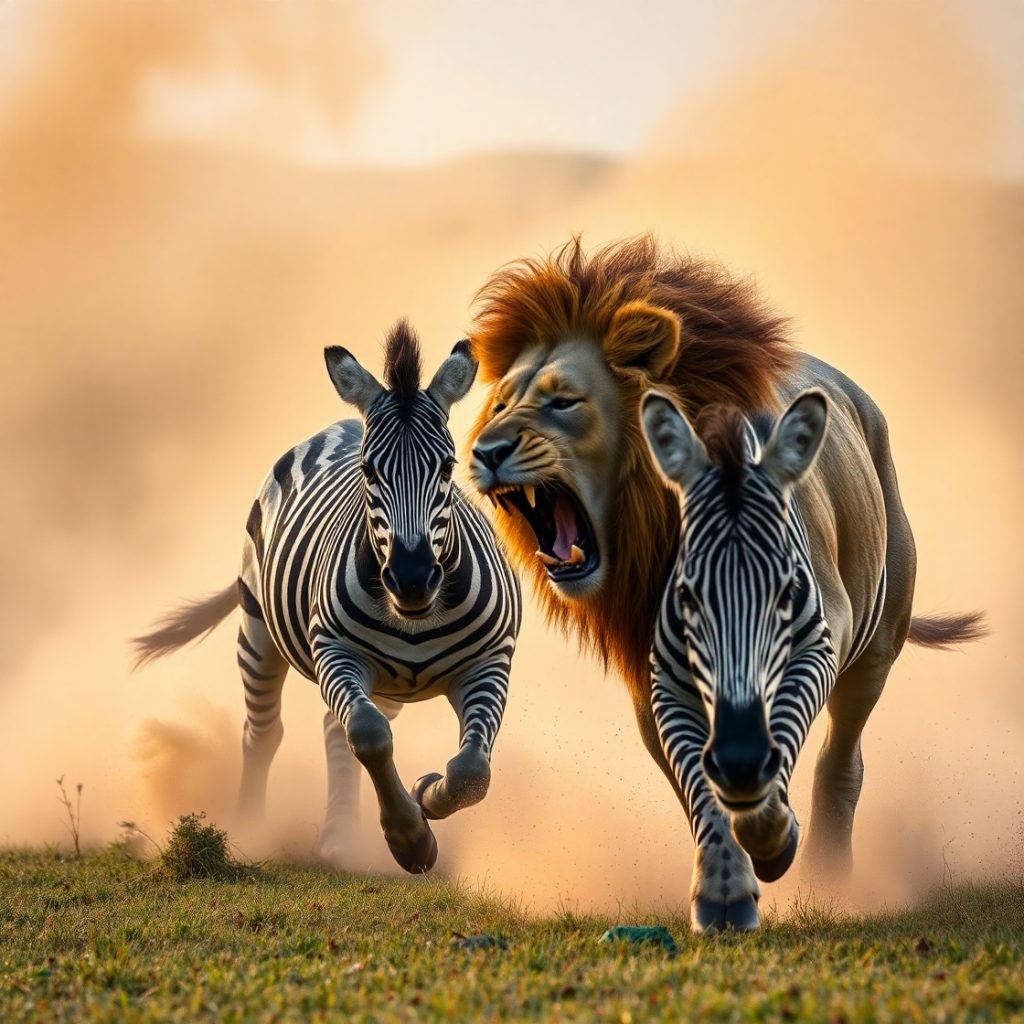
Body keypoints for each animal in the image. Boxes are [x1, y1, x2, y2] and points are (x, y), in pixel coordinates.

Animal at [134, 321, 522, 873]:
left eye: (448, 467)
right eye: (369, 471)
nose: (411, 578)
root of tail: (340, 424)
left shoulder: (491, 661)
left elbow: (470, 771)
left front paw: (425, 796)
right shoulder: (335, 651)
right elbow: (369, 735)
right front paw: (410, 838)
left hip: (386, 680)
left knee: (334, 730)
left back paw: (340, 838)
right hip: (257, 631)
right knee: (264, 733)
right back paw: (251, 829)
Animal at [640, 388, 848, 931]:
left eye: (788, 590)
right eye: (687, 596)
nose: (739, 761)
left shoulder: (815, 653)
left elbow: (782, 741)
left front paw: (774, 839)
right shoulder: (666, 684)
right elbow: (701, 784)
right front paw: (722, 889)